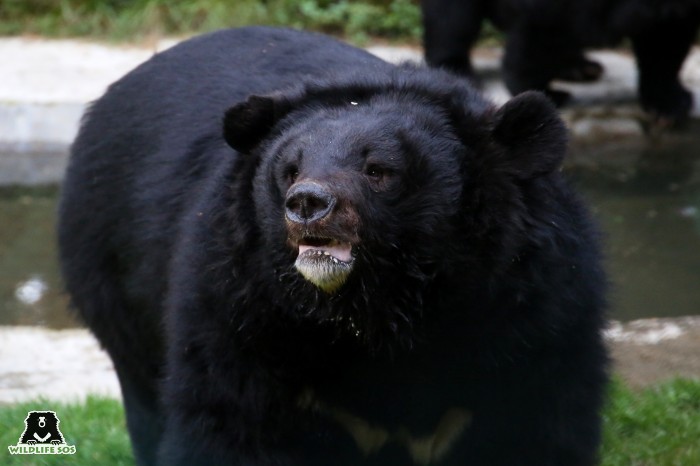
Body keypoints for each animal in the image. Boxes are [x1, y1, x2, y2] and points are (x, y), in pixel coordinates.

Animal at [58, 26, 608, 466]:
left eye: (378, 169)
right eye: (290, 169)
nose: (307, 203)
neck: (377, 311)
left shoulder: (533, 314)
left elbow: (536, 430)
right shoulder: (239, 309)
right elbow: (230, 423)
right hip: (114, 281)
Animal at [422, 0, 700, 124]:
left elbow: (665, 41)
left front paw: (669, 102)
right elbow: (544, 25)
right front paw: (542, 92)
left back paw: (580, 67)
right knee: (452, 18)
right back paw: (457, 69)